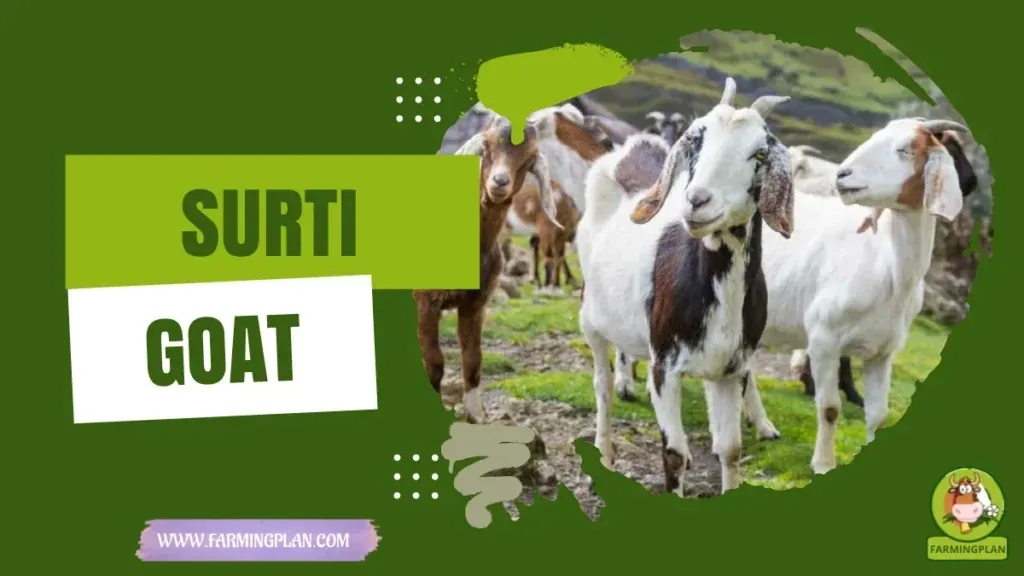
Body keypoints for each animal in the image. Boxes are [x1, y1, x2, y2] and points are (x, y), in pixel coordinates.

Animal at [413, 115, 562, 423]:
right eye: (487, 146)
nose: (499, 182)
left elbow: (473, 360)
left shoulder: (475, 303)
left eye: (529, 157)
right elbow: (434, 362)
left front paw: (475, 416)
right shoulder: (425, 300)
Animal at [577, 77, 794, 494]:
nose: (697, 201)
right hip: (591, 320)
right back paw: (605, 452)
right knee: (601, 386)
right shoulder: (666, 364)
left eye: (760, 153)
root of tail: (632, 150)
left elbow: (730, 449)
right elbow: (673, 453)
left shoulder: (730, 370)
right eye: (695, 139)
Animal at [753, 118, 977, 474]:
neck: (888, 268)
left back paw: (762, 426)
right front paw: (823, 464)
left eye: (906, 149)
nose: (842, 175)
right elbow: (829, 407)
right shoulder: (824, 340)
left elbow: (878, 416)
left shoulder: (883, 353)